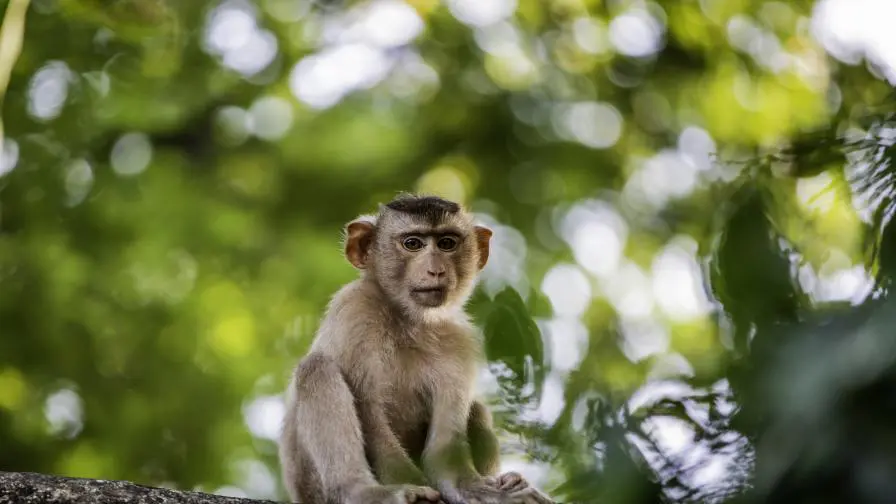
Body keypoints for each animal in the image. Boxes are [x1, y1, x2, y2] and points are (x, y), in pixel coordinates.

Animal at [278, 194, 555, 504]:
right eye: (413, 243)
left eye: (447, 243)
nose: (436, 270)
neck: (409, 321)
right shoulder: (355, 310)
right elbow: (371, 418)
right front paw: (405, 489)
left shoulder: (458, 339)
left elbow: (443, 454)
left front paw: (481, 490)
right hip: (310, 483)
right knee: (316, 370)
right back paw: (360, 491)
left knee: (477, 409)